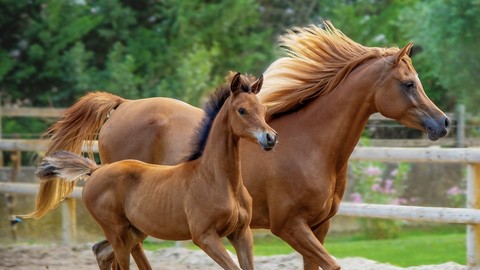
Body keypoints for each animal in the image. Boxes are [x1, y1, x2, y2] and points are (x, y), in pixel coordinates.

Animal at [34, 73, 278, 268]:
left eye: (264, 109)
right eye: (242, 110)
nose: (270, 138)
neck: (218, 179)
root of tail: (95, 171)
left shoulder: (241, 233)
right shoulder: (205, 236)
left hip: (135, 231)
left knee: (101, 251)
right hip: (118, 234)